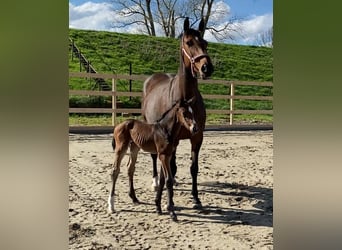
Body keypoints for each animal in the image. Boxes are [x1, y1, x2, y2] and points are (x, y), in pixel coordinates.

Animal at [141, 17, 211, 208]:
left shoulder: (197, 137)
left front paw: (196, 198)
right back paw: (155, 181)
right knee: (154, 157)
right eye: (189, 42)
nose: (206, 68)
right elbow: (169, 165)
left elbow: (193, 168)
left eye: (205, 43)